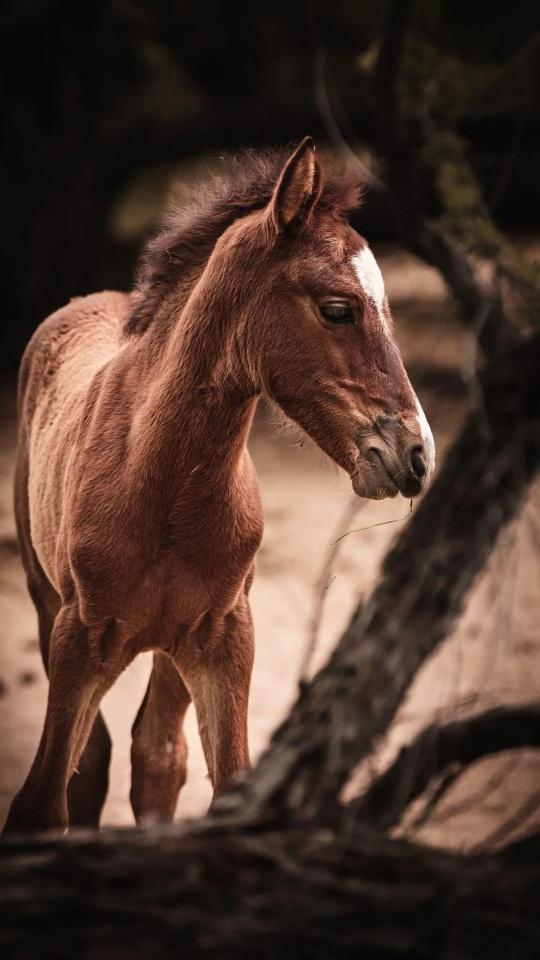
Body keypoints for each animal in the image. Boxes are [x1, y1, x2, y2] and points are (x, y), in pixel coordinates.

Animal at [4, 137, 434, 834]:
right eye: (338, 309)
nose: (417, 455)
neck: (162, 487)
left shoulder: (226, 640)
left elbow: (224, 782)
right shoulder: (78, 638)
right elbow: (43, 800)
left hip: (169, 648)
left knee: (156, 756)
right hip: (47, 605)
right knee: (97, 759)